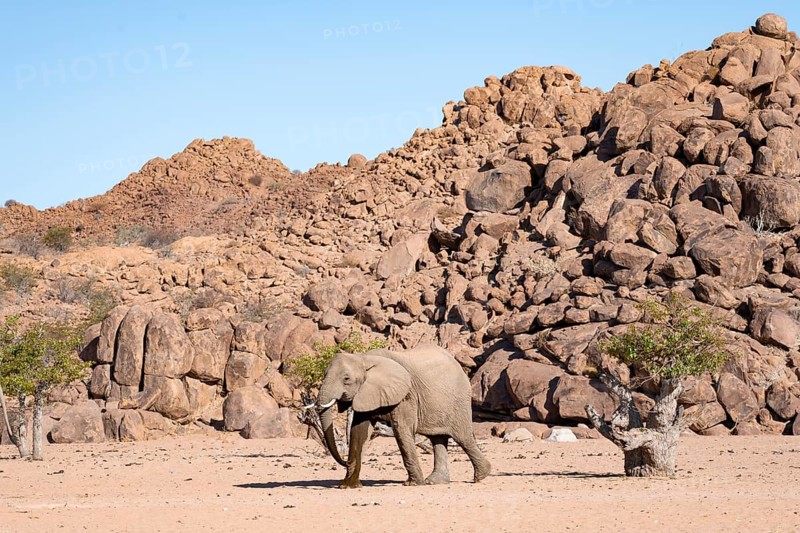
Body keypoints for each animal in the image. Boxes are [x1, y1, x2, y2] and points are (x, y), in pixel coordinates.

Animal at [313, 344, 491, 488]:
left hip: (458, 401)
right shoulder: (366, 393)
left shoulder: (406, 395)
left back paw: (482, 476)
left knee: (463, 437)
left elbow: (401, 430)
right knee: (438, 439)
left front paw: (413, 484)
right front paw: (348, 486)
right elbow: (359, 430)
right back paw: (434, 481)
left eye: (346, 379)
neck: (363, 358)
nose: (345, 461)